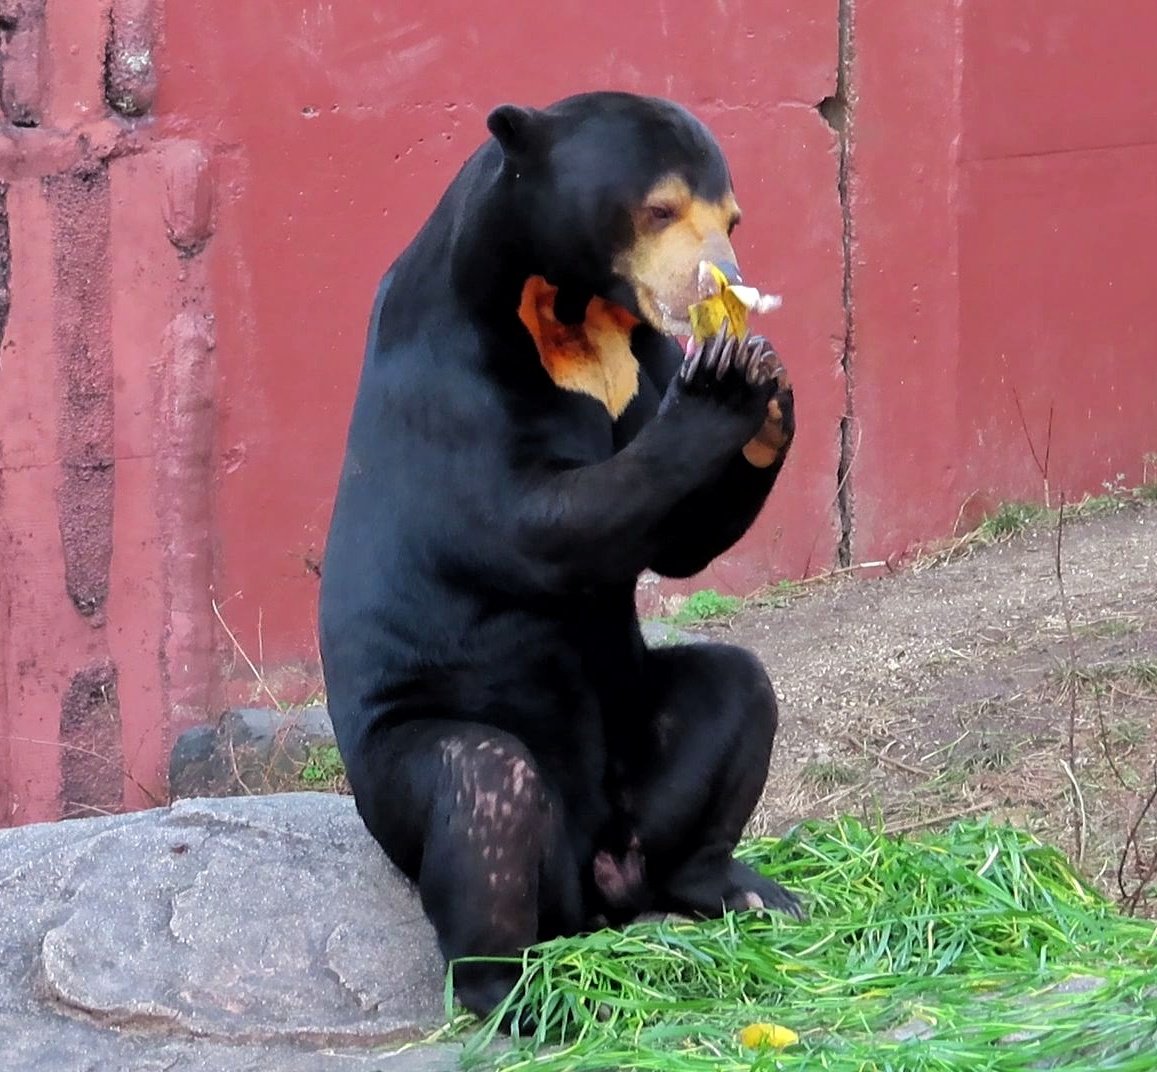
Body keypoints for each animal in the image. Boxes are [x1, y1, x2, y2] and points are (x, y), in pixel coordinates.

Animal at [319, 91, 799, 1020]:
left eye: (730, 217)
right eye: (659, 209)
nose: (714, 283)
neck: (572, 309)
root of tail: (590, 890)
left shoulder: (634, 355)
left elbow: (679, 544)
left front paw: (767, 384)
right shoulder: (454, 373)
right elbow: (533, 525)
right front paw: (721, 381)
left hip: (637, 739)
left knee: (735, 688)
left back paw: (742, 888)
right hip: (401, 768)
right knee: (484, 788)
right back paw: (524, 994)